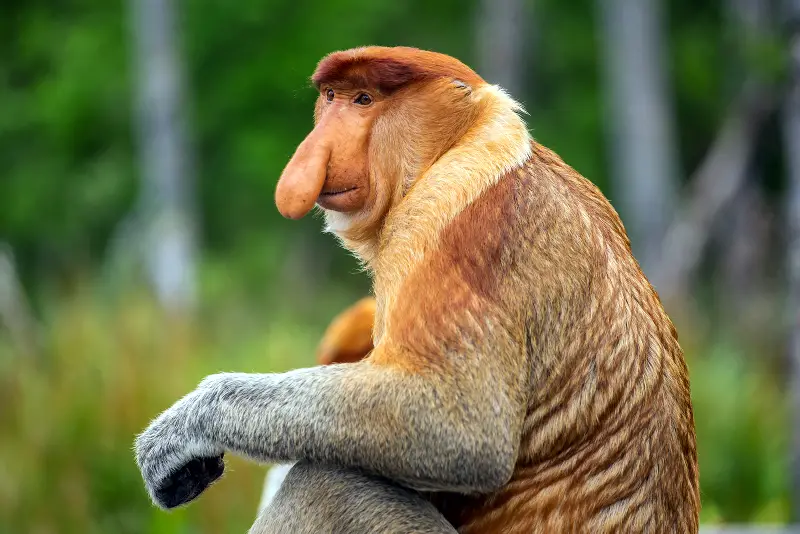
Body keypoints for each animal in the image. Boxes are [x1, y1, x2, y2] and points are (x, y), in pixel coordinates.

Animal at [135, 46, 700, 533]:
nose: (310, 158)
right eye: (332, 96)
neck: (465, 142)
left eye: (365, 100)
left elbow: (461, 429)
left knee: (331, 484)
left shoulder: (442, 225)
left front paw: (183, 430)